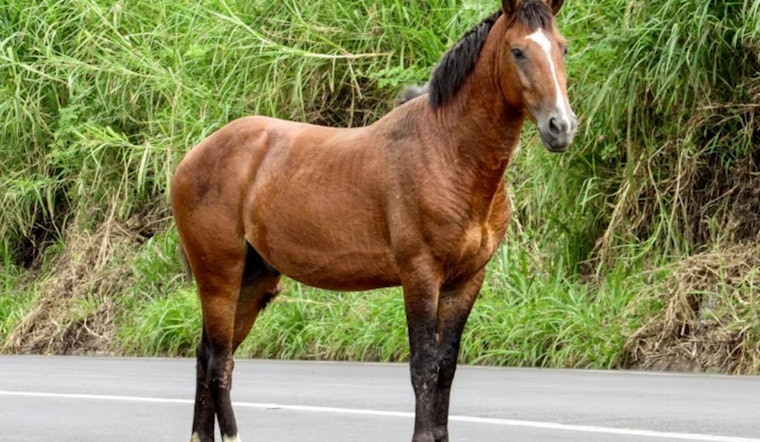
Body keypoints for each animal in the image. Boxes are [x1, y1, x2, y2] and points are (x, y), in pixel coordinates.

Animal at [171, 0, 576, 440]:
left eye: (562, 47)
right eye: (518, 51)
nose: (561, 126)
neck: (448, 151)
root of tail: (191, 158)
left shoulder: (467, 281)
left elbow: (446, 368)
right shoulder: (420, 276)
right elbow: (423, 365)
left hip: (254, 279)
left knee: (207, 354)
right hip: (220, 277)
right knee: (218, 362)